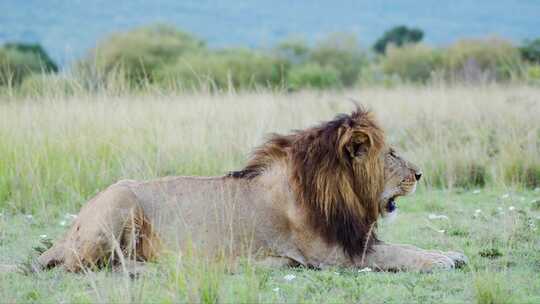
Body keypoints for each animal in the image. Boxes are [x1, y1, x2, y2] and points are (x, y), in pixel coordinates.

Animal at [31, 107, 466, 274]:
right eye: (391, 153)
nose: (420, 174)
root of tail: (69, 230)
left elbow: (405, 246)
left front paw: (450, 253)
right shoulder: (334, 254)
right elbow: (397, 253)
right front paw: (440, 261)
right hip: (118, 203)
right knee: (86, 266)